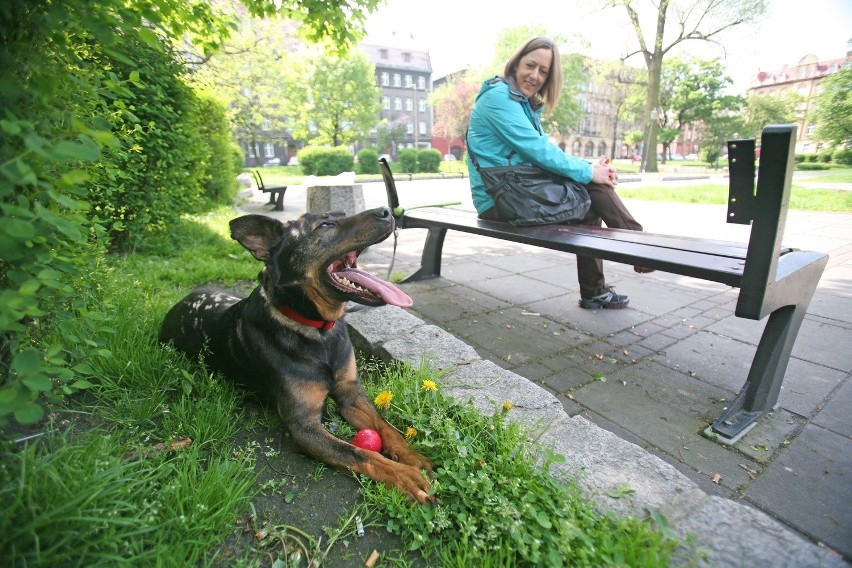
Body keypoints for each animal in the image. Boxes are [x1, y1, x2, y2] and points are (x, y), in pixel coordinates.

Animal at [161, 206, 432, 504]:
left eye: (341, 213)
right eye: (324, 225)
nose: (387, 211)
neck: (318, 331)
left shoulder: (350, 393)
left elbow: (385, 426)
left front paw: (412, 455)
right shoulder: (303, 426)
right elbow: (357, 452)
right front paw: (403, 476)